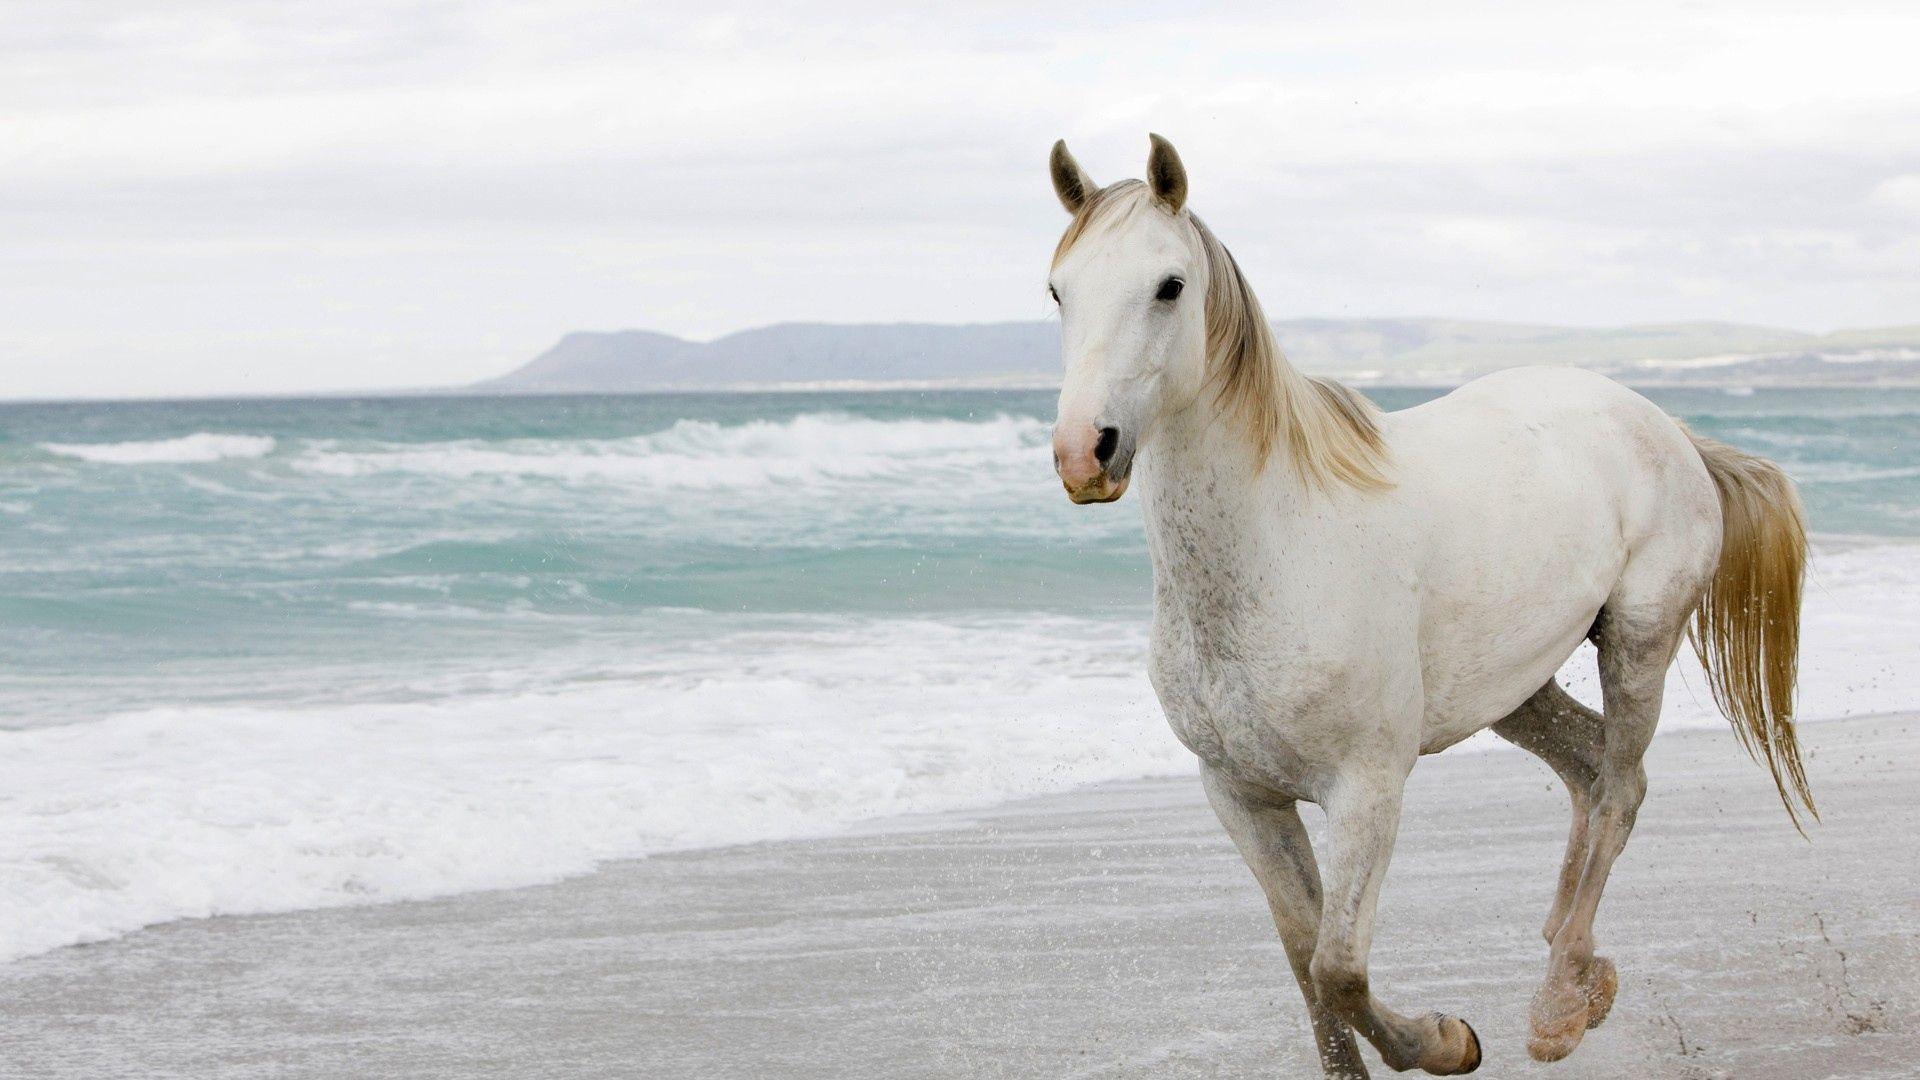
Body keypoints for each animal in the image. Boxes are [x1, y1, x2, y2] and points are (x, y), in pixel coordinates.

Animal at [1042, 134, 1812, 1077]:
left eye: (1169, 286)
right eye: (1059, 290)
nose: (1085, 452)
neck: (1278, 545)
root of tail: (1668, 428)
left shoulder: (1366, 790)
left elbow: (1337, 969)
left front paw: (1450, 1042)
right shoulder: (1241, 795)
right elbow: (1305, 965)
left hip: (1639, 640)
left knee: (1620, 785)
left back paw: (1558, 1006)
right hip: (1515, 689)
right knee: (1590, 769)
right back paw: (1578, 968)